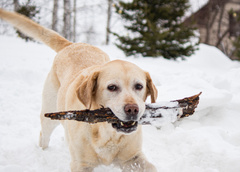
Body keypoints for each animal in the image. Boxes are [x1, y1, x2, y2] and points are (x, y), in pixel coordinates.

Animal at [0, 8, 158, 171]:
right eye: (112, 87)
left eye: (139, 86)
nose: (132, 109)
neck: (106, 133)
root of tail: (72, 44)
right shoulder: (81, 164)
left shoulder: (133, 158)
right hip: (50, 113)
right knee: (44, 135)